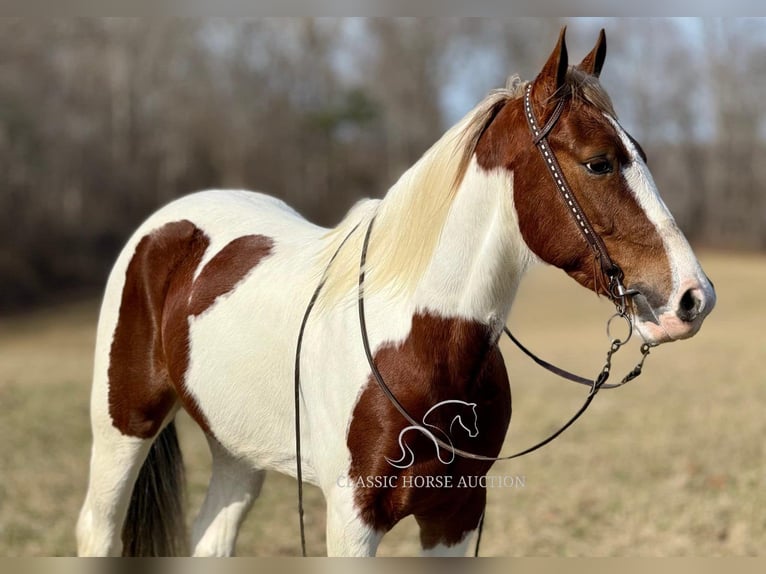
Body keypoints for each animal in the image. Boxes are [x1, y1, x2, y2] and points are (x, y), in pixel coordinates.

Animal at [78, 29, 720, 560]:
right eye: (599, 163)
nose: (692, 298)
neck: (418, 340)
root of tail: (165, 225)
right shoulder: (352, 520)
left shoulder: (458, 514)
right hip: (123, 424)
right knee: (97, 528)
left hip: (237, 449)